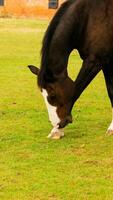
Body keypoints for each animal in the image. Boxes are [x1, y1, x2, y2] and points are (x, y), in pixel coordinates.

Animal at [28, 0, 113, 140]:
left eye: (52, 95)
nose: (58, 123)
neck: (89, 16)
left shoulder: (94, 61)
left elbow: (76, 90)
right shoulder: (106, 63)